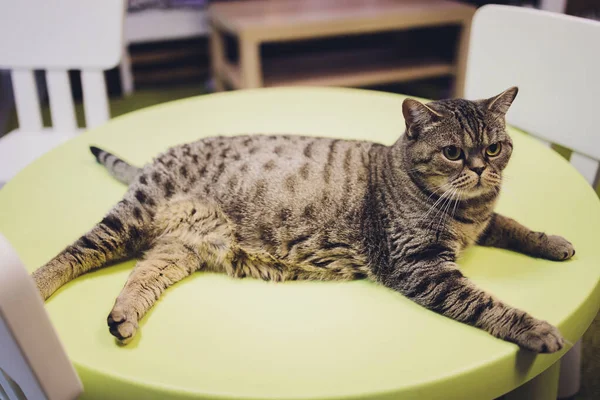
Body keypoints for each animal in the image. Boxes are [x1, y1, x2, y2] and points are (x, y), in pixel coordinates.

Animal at [31, 88, 572, 354]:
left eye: (494, 147)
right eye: (454, 152)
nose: (480, 169)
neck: (464, 210)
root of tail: (153, 160)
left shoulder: (482, 223)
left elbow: (514, 225)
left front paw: (554, 242)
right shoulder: (420, 266)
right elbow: (487, 305)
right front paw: (537, 330)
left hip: (177, 251)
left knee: (141, 275)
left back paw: (123, 317)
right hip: (131, 218)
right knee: (73, 254)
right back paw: (35, 286)